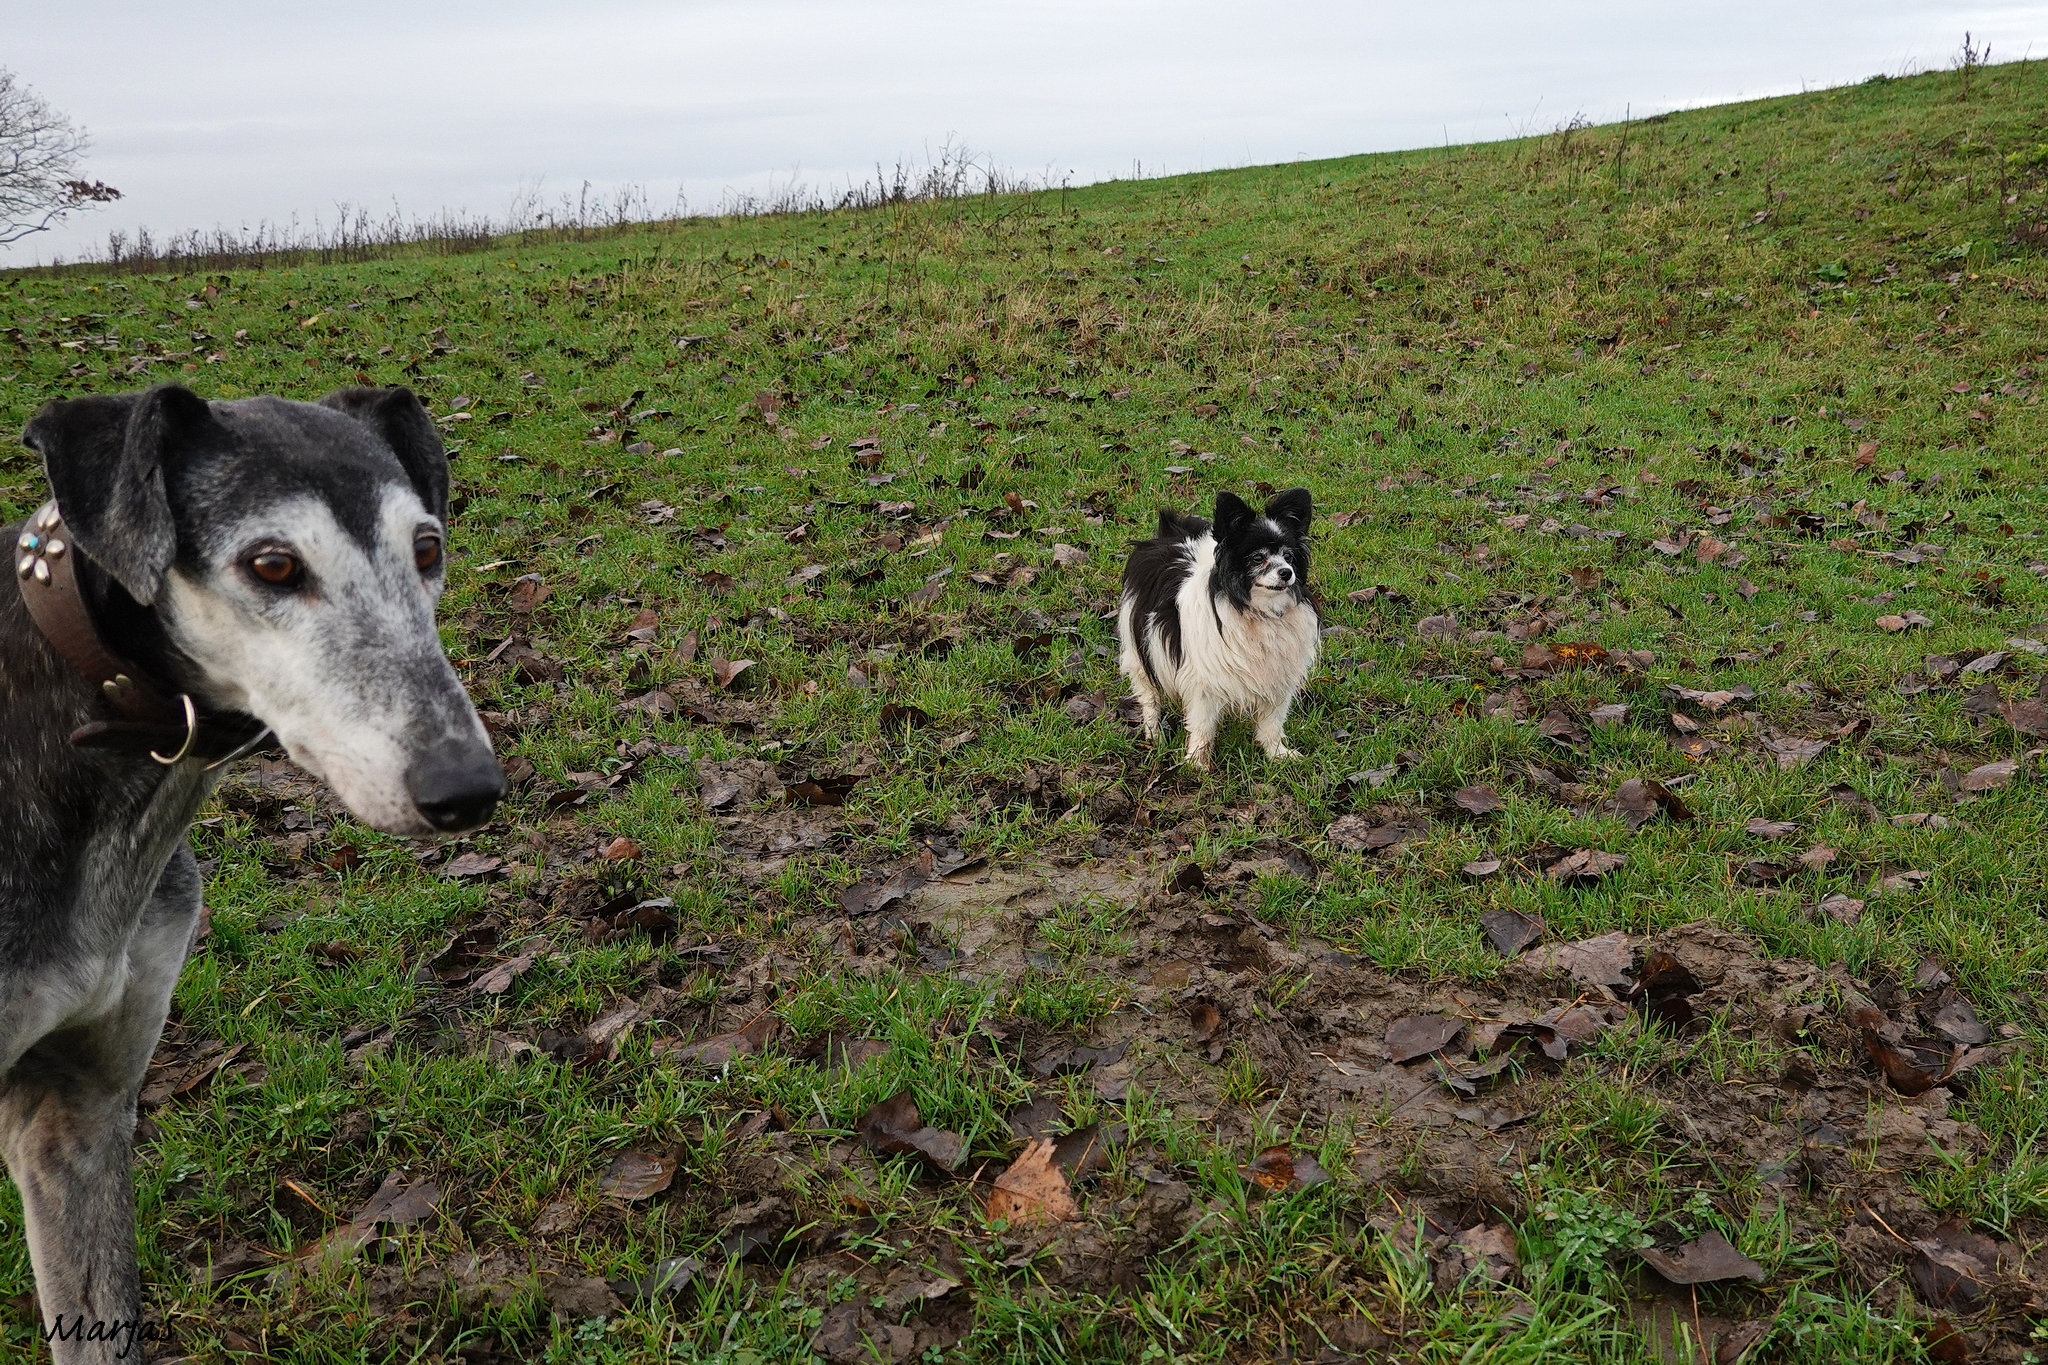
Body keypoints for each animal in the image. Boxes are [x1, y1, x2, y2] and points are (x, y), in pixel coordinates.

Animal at [1114, 489, 1318, 769]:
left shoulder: (1278, 680)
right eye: (1258, 558)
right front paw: (1197, 763)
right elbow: (1202, 726)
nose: (1287, 573)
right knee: (1149, 696)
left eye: (1289, 557)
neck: (1256, 611)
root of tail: (1170, 533)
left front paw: (1277, 754)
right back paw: (1154, 735)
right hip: (1140, 653)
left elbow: (1272, 723)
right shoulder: (1204, 683)